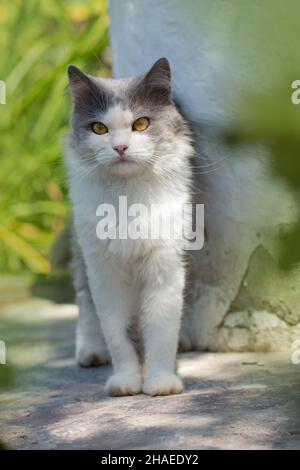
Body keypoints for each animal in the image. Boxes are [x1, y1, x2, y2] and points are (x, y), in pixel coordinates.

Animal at [66, 57, 193, 396]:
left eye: (141, 124)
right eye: (99, 128)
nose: (120, 147)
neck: (127, 198)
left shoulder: (165, 264)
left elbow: (160, 330)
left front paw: (160, 381)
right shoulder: (105, 272)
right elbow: (116, 333)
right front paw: (125, 380)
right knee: (84, 300)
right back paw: (90, 351)